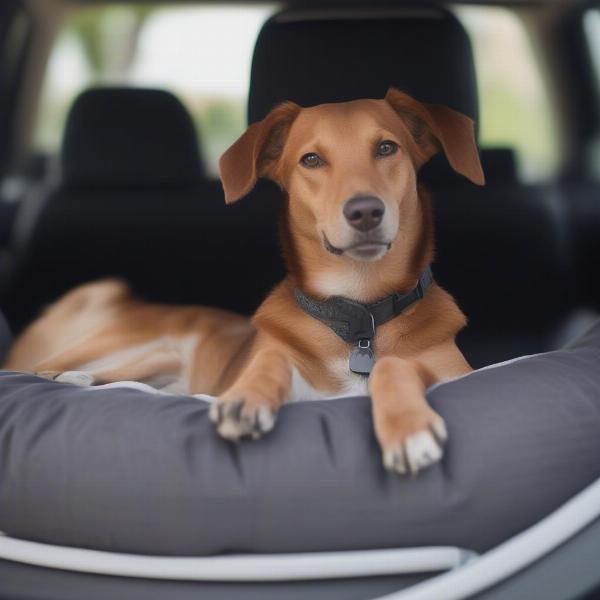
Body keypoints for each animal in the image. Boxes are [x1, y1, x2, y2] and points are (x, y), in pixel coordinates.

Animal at [4, 88, 482, 474]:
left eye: (386, 148)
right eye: (311, 160)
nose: (364, 211)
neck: (359, 314)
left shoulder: (451, 371)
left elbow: (395, 366)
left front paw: (407, 426)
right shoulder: (283, 367)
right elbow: (270, 362)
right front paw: (246, 398)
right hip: (137, 348)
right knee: (78, 371)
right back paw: (66, 377)